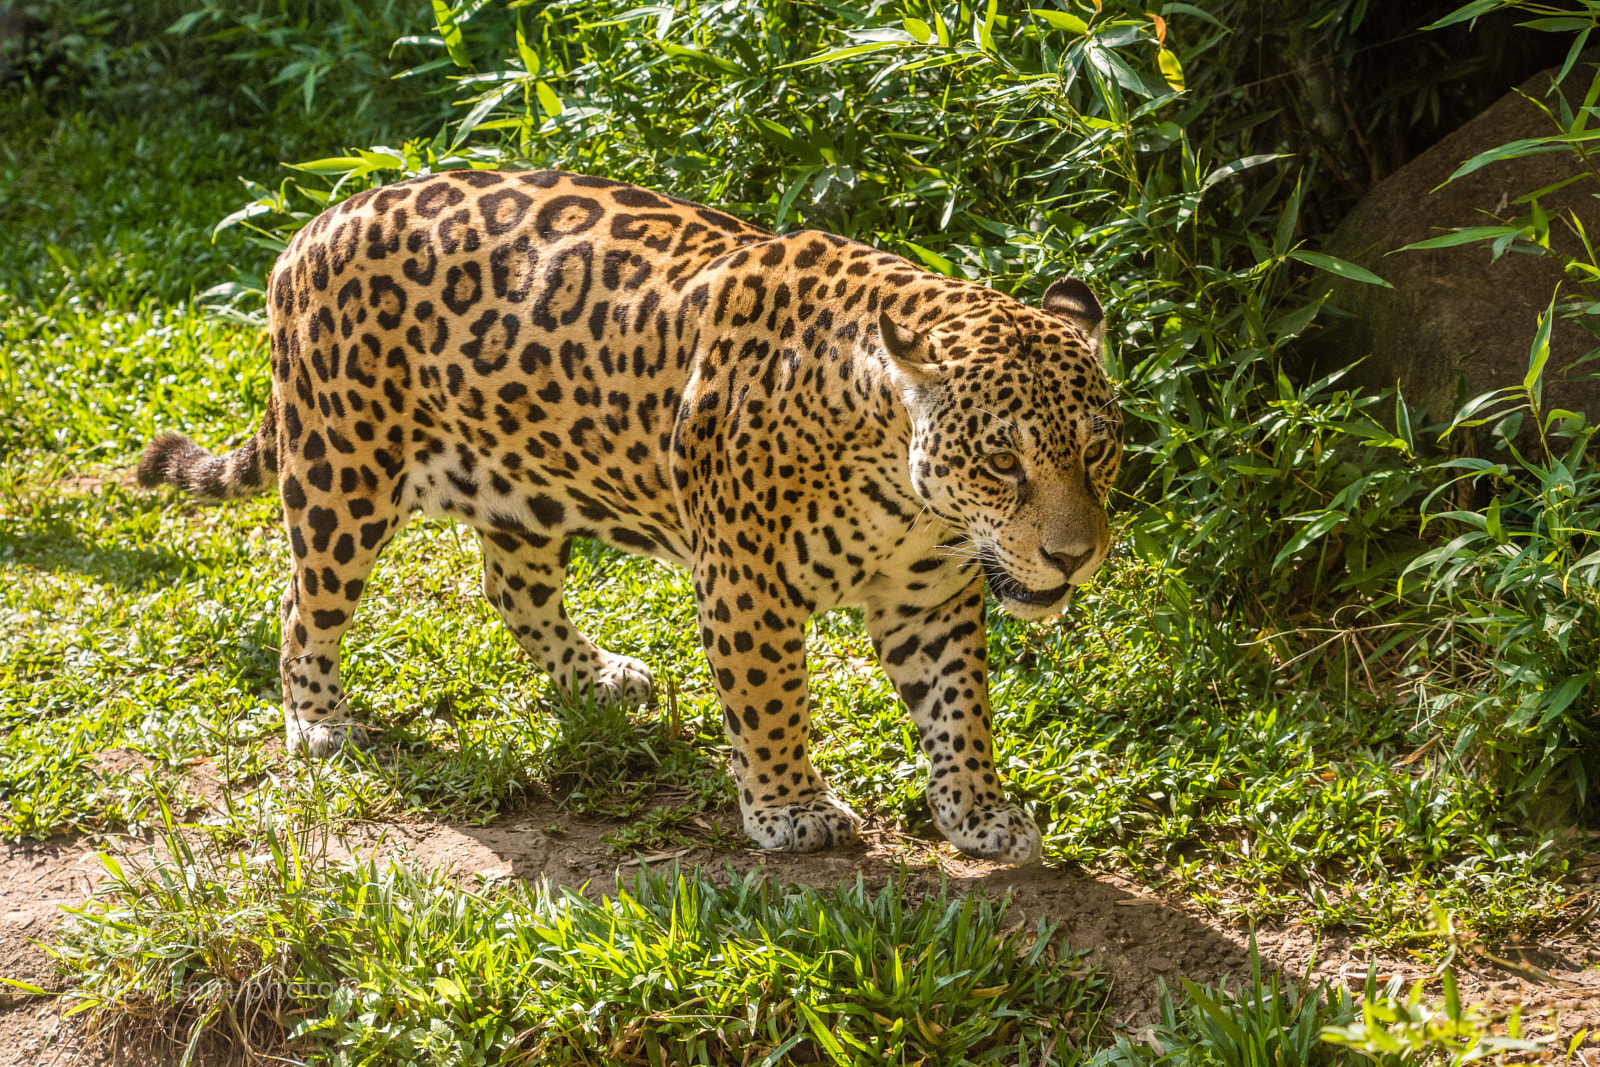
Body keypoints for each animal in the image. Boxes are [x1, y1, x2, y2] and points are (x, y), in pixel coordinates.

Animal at [137, 169, 1122, 864]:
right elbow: (771, 701)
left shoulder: (933, 597)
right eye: (1004, 462)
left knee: (510, 584)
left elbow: (959, 709)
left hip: (522, 477)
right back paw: (319, 723)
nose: (1074, 557)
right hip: (342, 471)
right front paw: (791, 809)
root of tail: (311, 226)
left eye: (1099, 449)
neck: (902, 485)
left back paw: (599, 676)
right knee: (304, 601)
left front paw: (980, 814)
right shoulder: (748, 584)